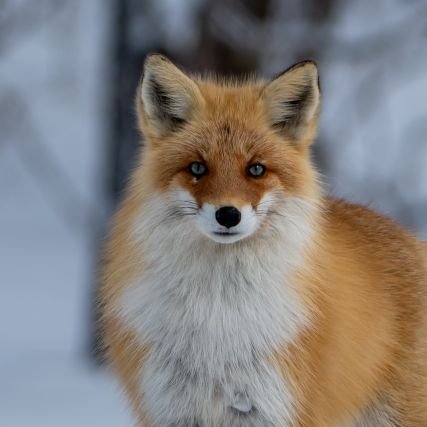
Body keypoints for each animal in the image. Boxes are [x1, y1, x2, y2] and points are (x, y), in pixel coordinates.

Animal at [101, 54, 427, 427]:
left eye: (256, 169)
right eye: (197, 168)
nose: (228, 214)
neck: (217, 318)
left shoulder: (274, 407)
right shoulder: (174, 411)